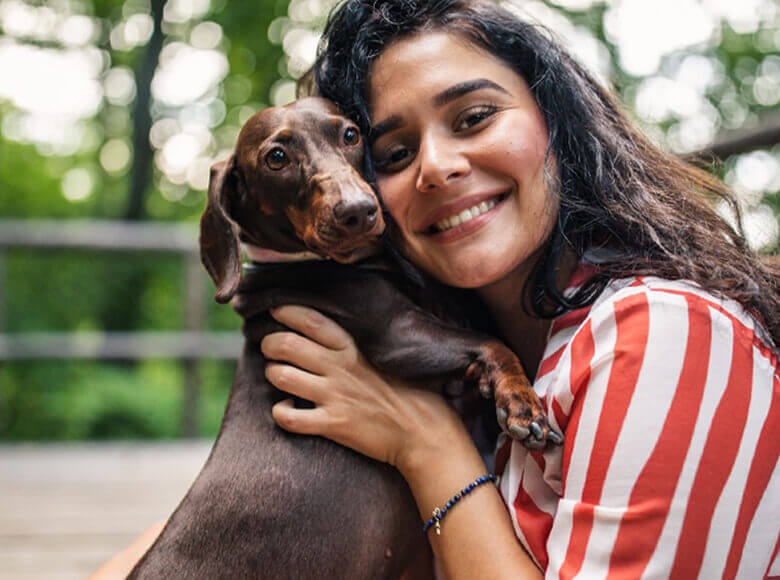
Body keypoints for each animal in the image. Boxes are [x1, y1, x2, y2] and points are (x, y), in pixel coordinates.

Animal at [128, 97, 556, 576]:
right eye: (276, 158)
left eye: (350, 134)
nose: (358, 211)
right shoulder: (399, 337)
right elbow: (492, 344)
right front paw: (521, 403)